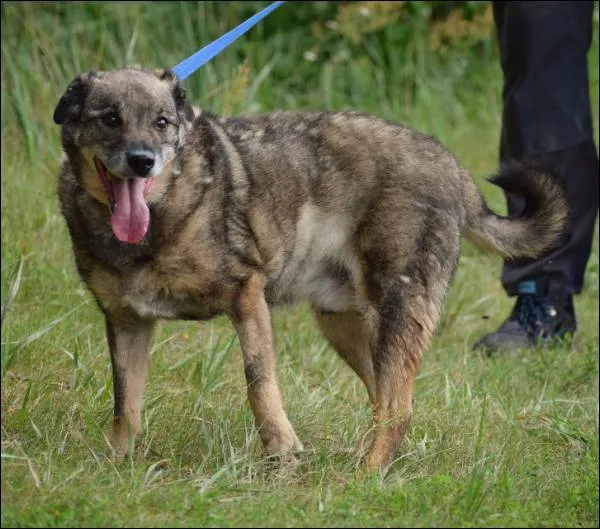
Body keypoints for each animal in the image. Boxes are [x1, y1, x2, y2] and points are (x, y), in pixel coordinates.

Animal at [52, 67, 568, 470]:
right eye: (111, 118)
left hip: (397, 312)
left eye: (162, 122)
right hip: (345, 326)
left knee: (397, 408)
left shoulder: (247, 297)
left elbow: (259, 385)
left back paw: (364, 478)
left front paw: (282, 452)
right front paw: (116, 467)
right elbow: (125, 403)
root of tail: (452, 168)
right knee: (385, 399)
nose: (142, 161)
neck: (162, 214)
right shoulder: (127, 323)